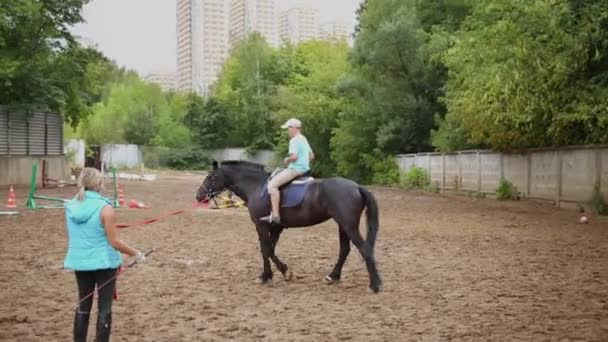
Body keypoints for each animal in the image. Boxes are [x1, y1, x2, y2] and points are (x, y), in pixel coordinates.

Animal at [197, 160, 382, 292]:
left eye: (211, 177)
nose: (199, 196)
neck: (256, 186)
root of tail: (357, 186)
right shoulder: (275, 228)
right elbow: (268, 250)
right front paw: (270, 275)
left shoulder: (261, 225)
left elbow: (266, 249)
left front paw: (280, 273)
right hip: (342, 225)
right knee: (345, 250)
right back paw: (332, 277)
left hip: (348, 226)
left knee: (365, 249)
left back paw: (375, 285)